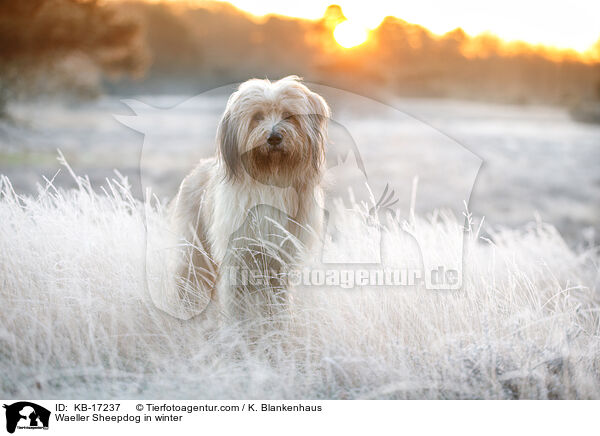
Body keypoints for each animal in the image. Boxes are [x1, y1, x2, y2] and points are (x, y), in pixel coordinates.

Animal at [168, 76, 328, 320]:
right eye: (257, 117)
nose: (274, 137)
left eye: (288, 115)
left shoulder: (279, 261)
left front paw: (278, 325)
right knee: (190, 280)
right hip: (194, 250)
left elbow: (277, 302)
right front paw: (238, 327)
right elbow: (235, 301)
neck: (271, 177)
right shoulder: (237, 255)